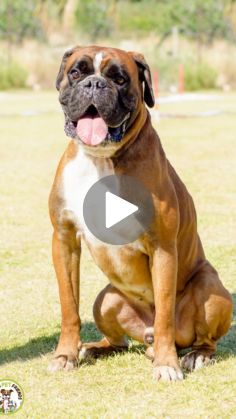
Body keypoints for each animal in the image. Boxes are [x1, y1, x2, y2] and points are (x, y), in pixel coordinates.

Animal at [48, 45, 232, 380]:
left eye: (120, 79)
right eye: (76, 72)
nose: (94, 84)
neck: (101, 158)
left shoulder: (162, 247)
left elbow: (165, 315)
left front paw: (167, 364)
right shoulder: (64, 240)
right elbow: (69, 306)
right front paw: (65, 355)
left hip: (210, 288)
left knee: (199, 336)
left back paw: (195, 355)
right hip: (105, 299)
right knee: (118, 342)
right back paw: (95, 349)